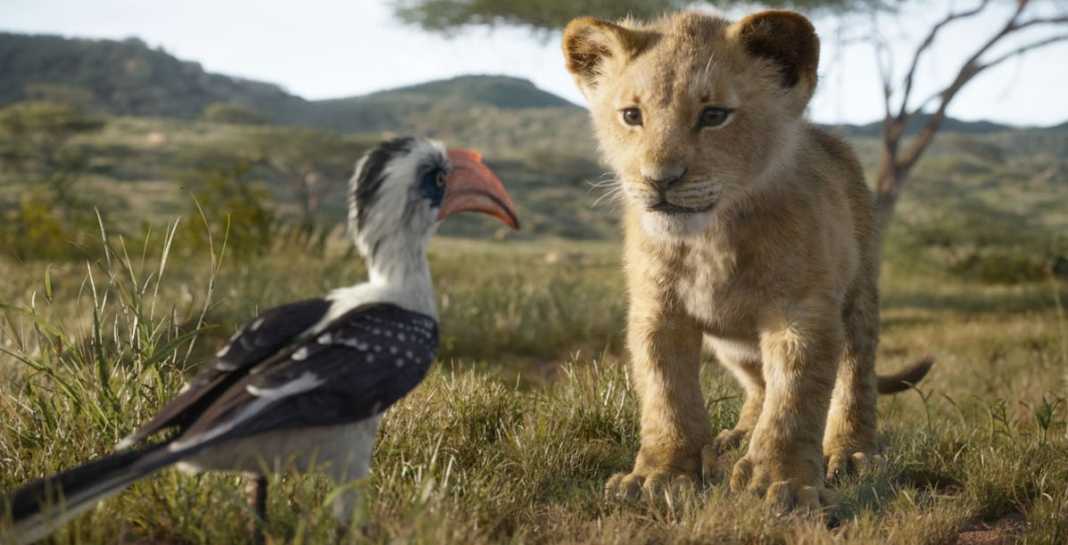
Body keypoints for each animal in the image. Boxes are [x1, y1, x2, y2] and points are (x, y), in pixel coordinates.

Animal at [561, 10, 932, 510]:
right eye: (632, 116)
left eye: (714, 115)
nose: (660, 180)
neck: (710, 238)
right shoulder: (657, 311)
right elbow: (666, 394)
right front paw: (660, 475)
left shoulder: (801, 312)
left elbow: (795, 399)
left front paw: (783, 482)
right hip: (732, 344)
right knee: (758, 384)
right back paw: (736, 436)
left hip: (859, 295)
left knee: (856, 374)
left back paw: (851, 452)